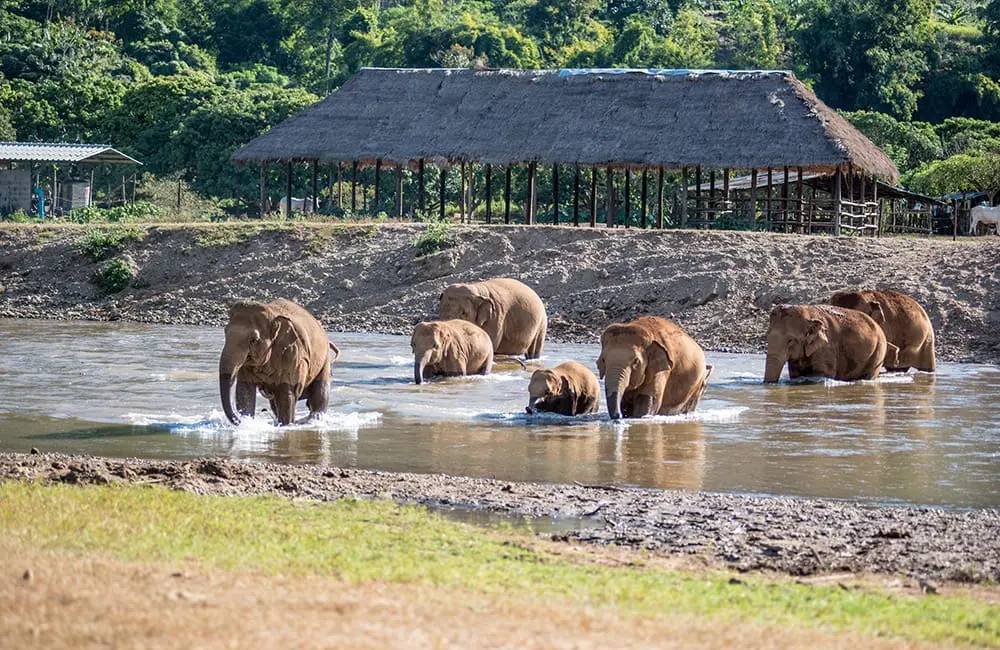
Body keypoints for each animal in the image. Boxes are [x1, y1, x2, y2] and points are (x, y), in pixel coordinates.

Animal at [763, 304, 897, 383]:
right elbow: (795, 374)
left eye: (790, 340)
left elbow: (822, 374)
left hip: (878, 352)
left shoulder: (827, 348)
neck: (809, 314)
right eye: (767, 336)